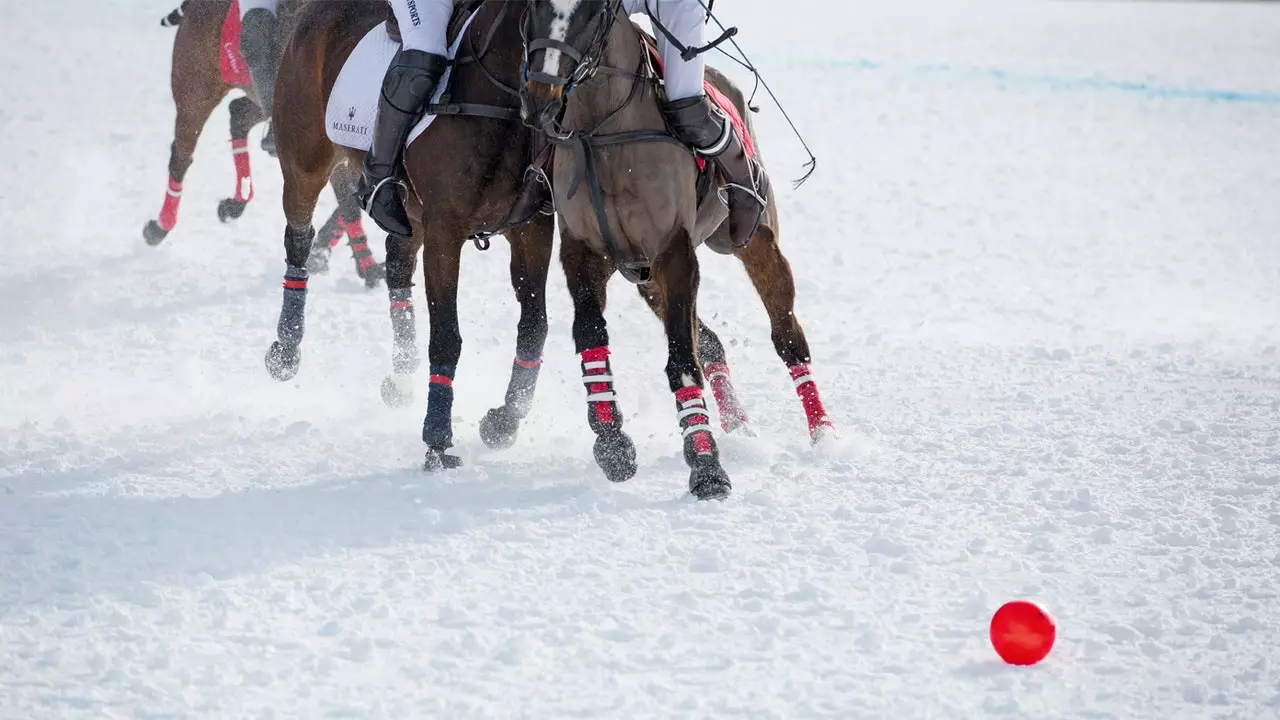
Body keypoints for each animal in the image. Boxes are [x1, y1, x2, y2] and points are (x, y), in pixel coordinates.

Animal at [145, 0, 381, 285]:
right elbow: (348, 203)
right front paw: (367, 268)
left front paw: (324, 254)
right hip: (196, 89)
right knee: (181, 156)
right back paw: (160, 226)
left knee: (237, 113)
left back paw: (237, 200)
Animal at [263, 0, 555, 471]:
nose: (548, 103)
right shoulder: (444, 232)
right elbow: (448, 336)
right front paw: (437, 440)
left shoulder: (533, 228)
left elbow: (534, 327)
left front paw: (503, 422)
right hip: (304, 159)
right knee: (299, 239)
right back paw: (286, 348)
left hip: (407, 211)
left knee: (397, 266)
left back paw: (401, 379)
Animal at [522, 1, 839, 499]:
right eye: (533, 7)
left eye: (591, 12)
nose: (541, 100)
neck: (603, 131)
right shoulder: (583, 252)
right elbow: (591, 335)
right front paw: (613, 444)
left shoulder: (675, 251)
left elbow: (682, 360)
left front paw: (707, 468)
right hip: (645, 277)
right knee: (709, 340)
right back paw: (739, 424)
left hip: (752, 239)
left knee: (787, 335)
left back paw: (823, 432)